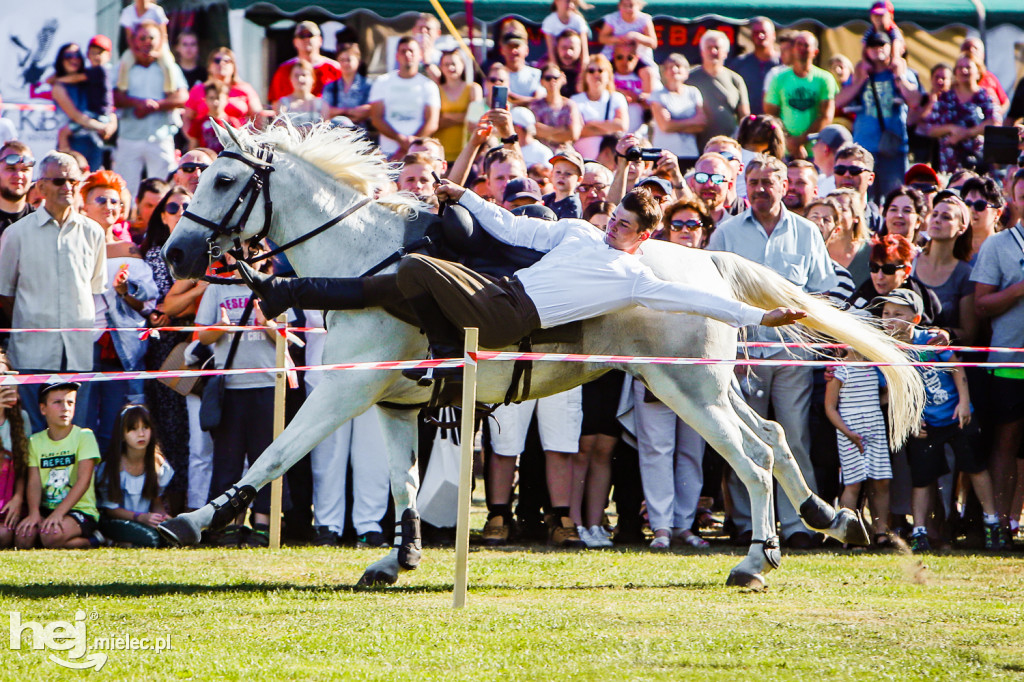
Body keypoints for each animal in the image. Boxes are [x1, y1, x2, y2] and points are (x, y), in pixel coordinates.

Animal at [161, 120, 929, 585]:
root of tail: (709, 263)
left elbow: (274, 455)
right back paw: (824, 517)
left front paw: (196, 518)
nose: (176, 255)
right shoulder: (392, 403)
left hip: (689, 393)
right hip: (699, 386)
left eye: (224, 180)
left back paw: (755, 559)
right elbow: (405, 484)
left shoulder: (344, 390)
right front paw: (399, 557)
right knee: (769, 435)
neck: (368, 260)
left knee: (753, 457)